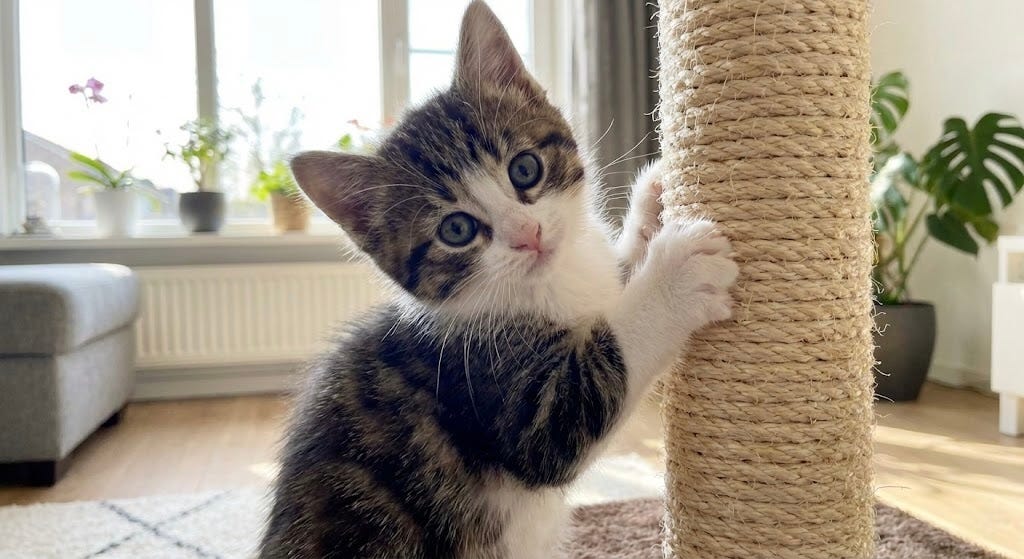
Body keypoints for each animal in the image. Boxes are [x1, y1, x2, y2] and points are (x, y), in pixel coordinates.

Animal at [259, 2, 737, 558]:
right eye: (456, 229)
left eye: (525, 168)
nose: (528, 235)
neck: (542, 286)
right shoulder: (503, 397)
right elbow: (587, 389)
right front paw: (678, 272)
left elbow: (615, 281)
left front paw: (652, 203)